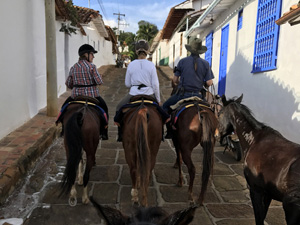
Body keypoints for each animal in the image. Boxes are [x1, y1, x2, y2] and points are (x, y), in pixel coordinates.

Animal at [218, 94, 300, 224]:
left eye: (219, 113)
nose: (217, 135)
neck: (255, 140)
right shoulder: (268, 193)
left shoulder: (256, 190)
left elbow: (259, 218)